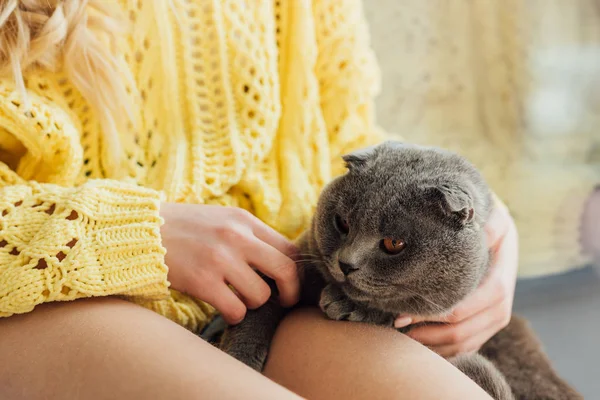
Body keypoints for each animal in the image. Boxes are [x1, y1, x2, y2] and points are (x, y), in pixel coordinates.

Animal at [220, 141, 580, 400]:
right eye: (342, 223)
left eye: (394, 243)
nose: (346, 263)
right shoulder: (300, 262)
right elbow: (263, 301)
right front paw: (238, 357)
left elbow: (404, 314)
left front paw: (346, 305)